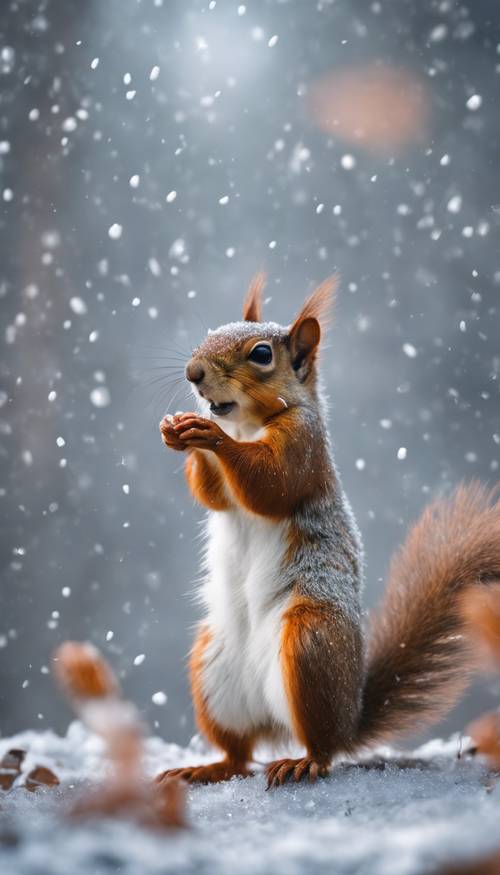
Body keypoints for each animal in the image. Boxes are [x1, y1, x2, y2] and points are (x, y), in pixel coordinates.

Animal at [156, 272, 500, 788]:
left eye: (261, 354)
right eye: (209, 334)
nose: (193, 373)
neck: (249, 426)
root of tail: (349, 715)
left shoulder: (304, 444)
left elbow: (271, 485)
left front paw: (210, 437)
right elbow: (214, 496)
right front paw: (177, 431)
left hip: (310, 645)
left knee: (322, 743)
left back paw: (304, 760)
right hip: (213, 667)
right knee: (238, 754)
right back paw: (206, 767)